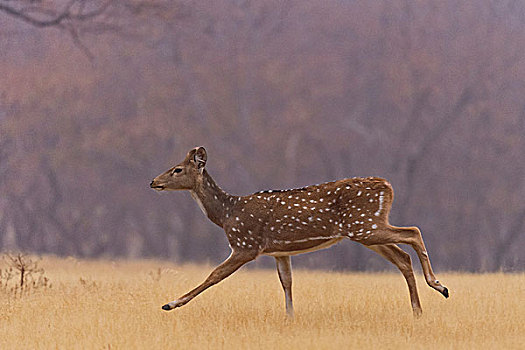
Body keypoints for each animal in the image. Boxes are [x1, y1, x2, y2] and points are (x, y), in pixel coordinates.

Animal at [149, 146, 448, 316]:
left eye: (177, 169)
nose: (153, 181)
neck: (226, 214)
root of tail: (387, 186)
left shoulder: (246, 245)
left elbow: (214, 276)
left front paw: (171, 304)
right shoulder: (279, 251)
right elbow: (287, 282)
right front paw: (289, 317)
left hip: (365, 226)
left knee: (413, 231)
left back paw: (438, 285)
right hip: (366, 229)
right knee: (403, 256)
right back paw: (418, 310)